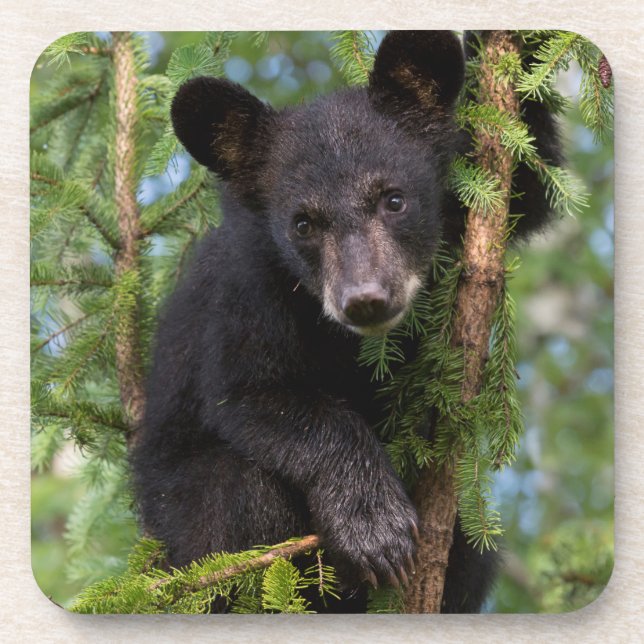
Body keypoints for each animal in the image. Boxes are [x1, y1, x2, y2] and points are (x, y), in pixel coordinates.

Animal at [131, 30, 561, 613]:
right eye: (303, 224)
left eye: (394, 199)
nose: (365, 300)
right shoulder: (246, 293)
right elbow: (252, 394)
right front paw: (374, 527)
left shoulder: (465, 210)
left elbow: (526, 183)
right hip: (176, 517)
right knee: (230, 498)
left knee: (473, 554)